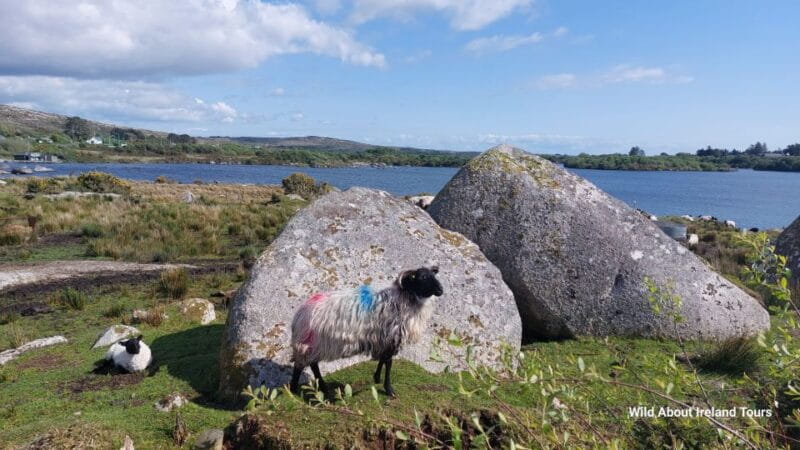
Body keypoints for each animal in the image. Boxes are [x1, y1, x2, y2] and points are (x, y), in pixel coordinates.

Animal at [289, 266, 443, 397]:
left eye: (433, 275)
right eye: (422, 277)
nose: (441, 289)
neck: (404, 299)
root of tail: (300, 314)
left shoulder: (383, 339)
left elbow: (383, 359)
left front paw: (377, 378)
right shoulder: (391, 338)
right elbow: (389, 363)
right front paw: (389, 389)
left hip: (312, 345)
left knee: (313, 364)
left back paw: (322, 387)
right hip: (310, 344)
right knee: (301, 365)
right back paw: (293, 390)